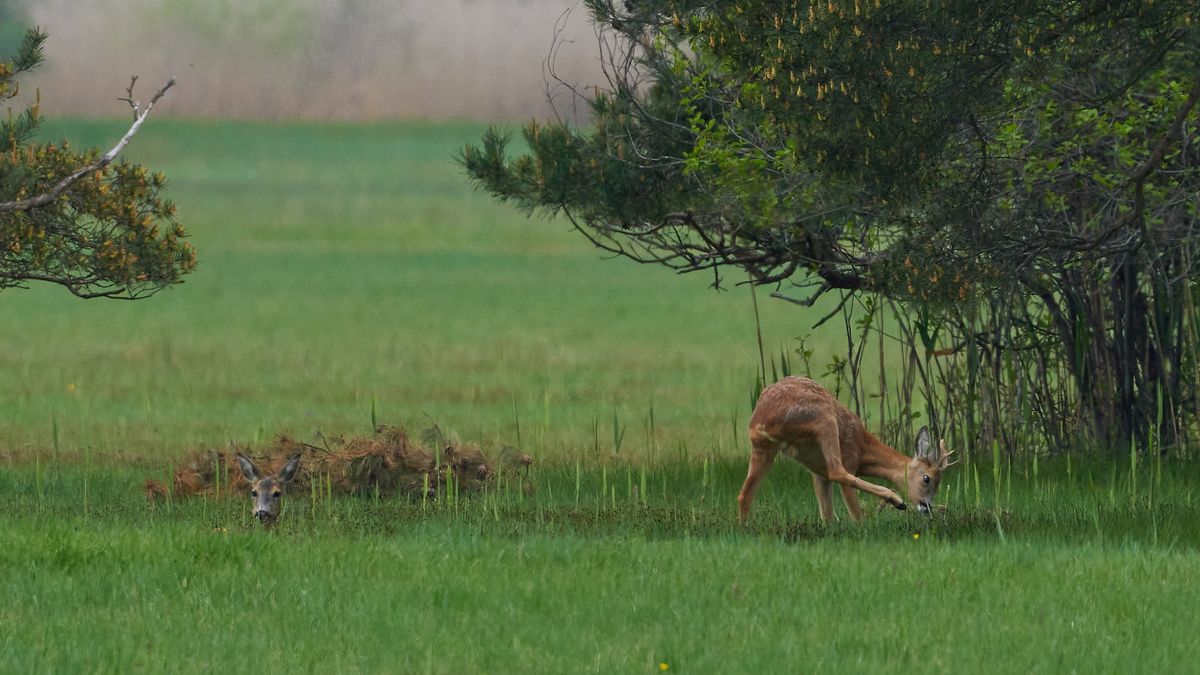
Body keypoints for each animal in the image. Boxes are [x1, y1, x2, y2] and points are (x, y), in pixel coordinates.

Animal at [734, 374, 960, 523]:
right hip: (824, 419)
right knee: (838, 471)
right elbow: (852, 508)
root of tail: (762, 419)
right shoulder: (850, 458)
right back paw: (896, 500)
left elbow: (826, 515)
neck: (864, 451)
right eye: (927, 478)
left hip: (762, 448)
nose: (926, 506)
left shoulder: (819, 475)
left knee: (744, 494)